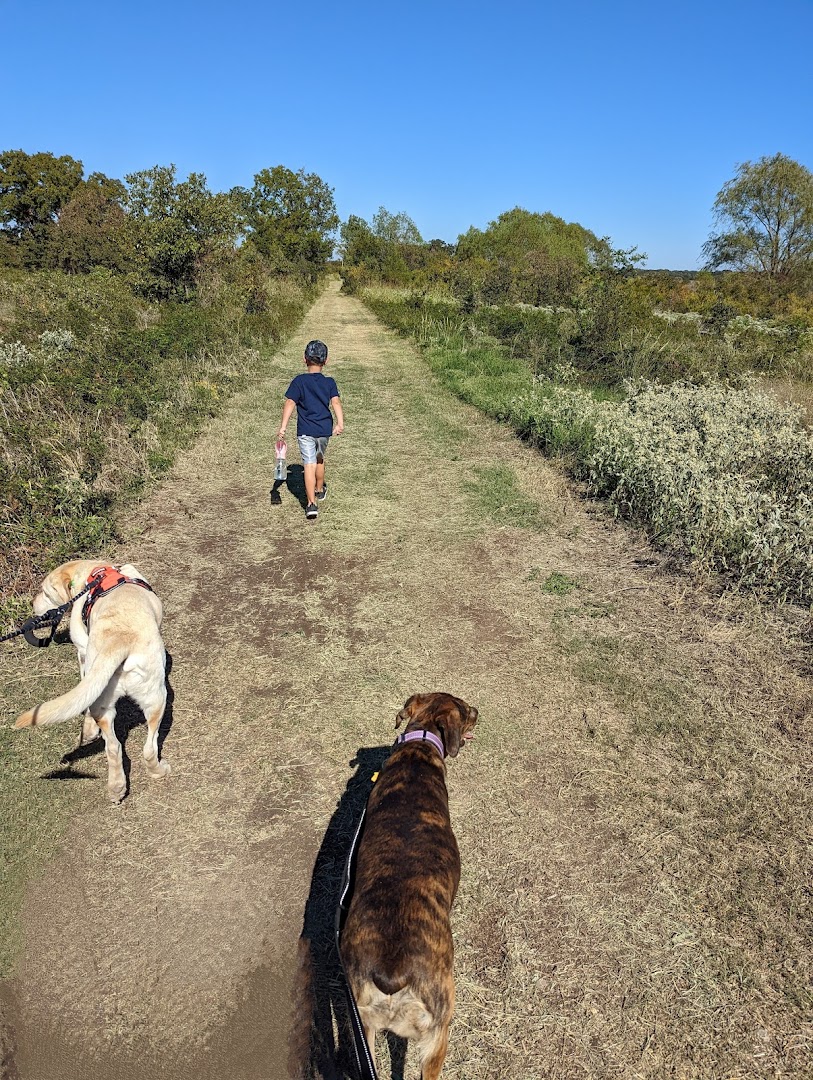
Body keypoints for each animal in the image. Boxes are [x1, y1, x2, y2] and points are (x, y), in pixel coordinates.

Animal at [15, 565, 169, 803]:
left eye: (45, 592)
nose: (32, 603)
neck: (93, 572)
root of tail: (119, 639)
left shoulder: (82, 651)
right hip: (155, 698)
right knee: (141, 747)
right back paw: (146, 776)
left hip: (124, 698)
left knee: (117, 746)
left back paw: (119, 786)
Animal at [336, 691, 475, 1080]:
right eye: (464, 709)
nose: (478, 712)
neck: (421, 742)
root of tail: (392, 972)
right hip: (438, 1032)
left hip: (363, 1029)